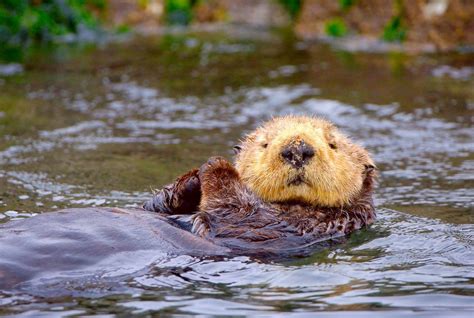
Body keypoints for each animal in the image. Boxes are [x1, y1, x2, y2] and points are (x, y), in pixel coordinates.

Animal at [143, 115, 376, 250]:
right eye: (265, 144)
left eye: (333, 145)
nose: (297, 150)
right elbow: (153, 206)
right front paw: (191, 180)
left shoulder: (292, 227)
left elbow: (233, 214)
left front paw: (216, 165)